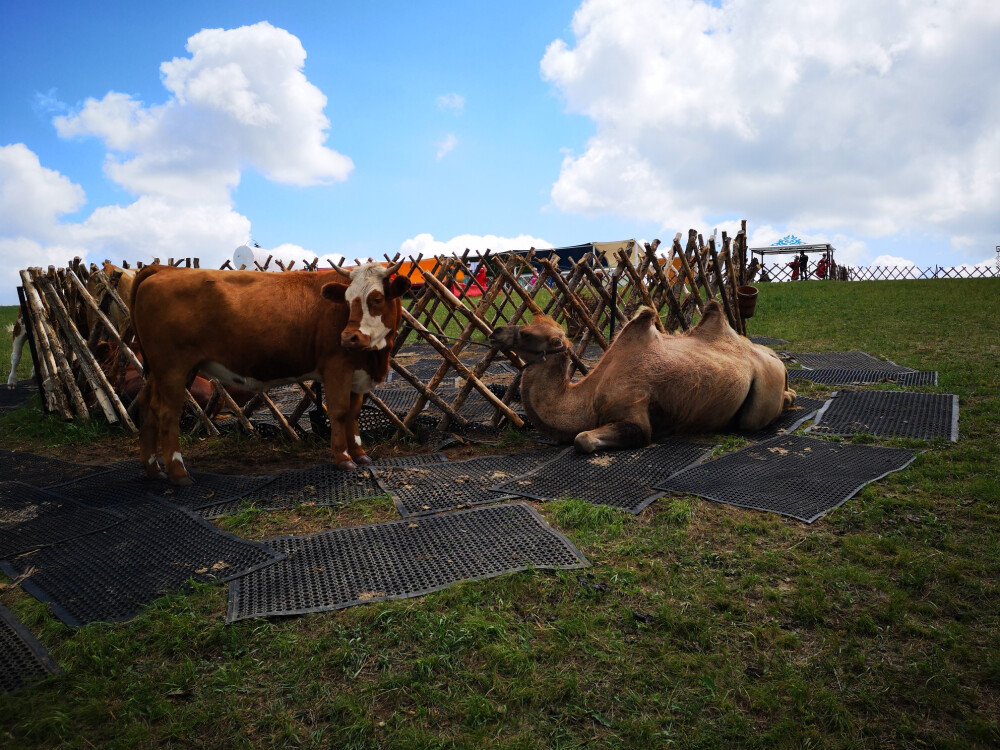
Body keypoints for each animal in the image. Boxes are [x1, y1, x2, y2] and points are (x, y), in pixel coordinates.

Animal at [130, 262, 410, 488]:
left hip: (161, 371)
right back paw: (178, 472)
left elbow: (354, 413)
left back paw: (153, 468)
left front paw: (360, 454)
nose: (349, 337)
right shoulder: (336, 368)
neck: (374, 356)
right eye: (348, 300)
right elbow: (340, 412)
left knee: (148, 406)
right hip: (173, 368)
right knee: (167, 413)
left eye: (376, 298)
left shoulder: (357, 375)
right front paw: (343, 458)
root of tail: (164, 269)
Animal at [488, 302, 792, 456]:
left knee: (753, 420)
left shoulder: (634, 413)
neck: (587, 399)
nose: (496, 332)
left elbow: (582, 439)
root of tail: (775, 357)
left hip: (763, 390)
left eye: (527, 334)